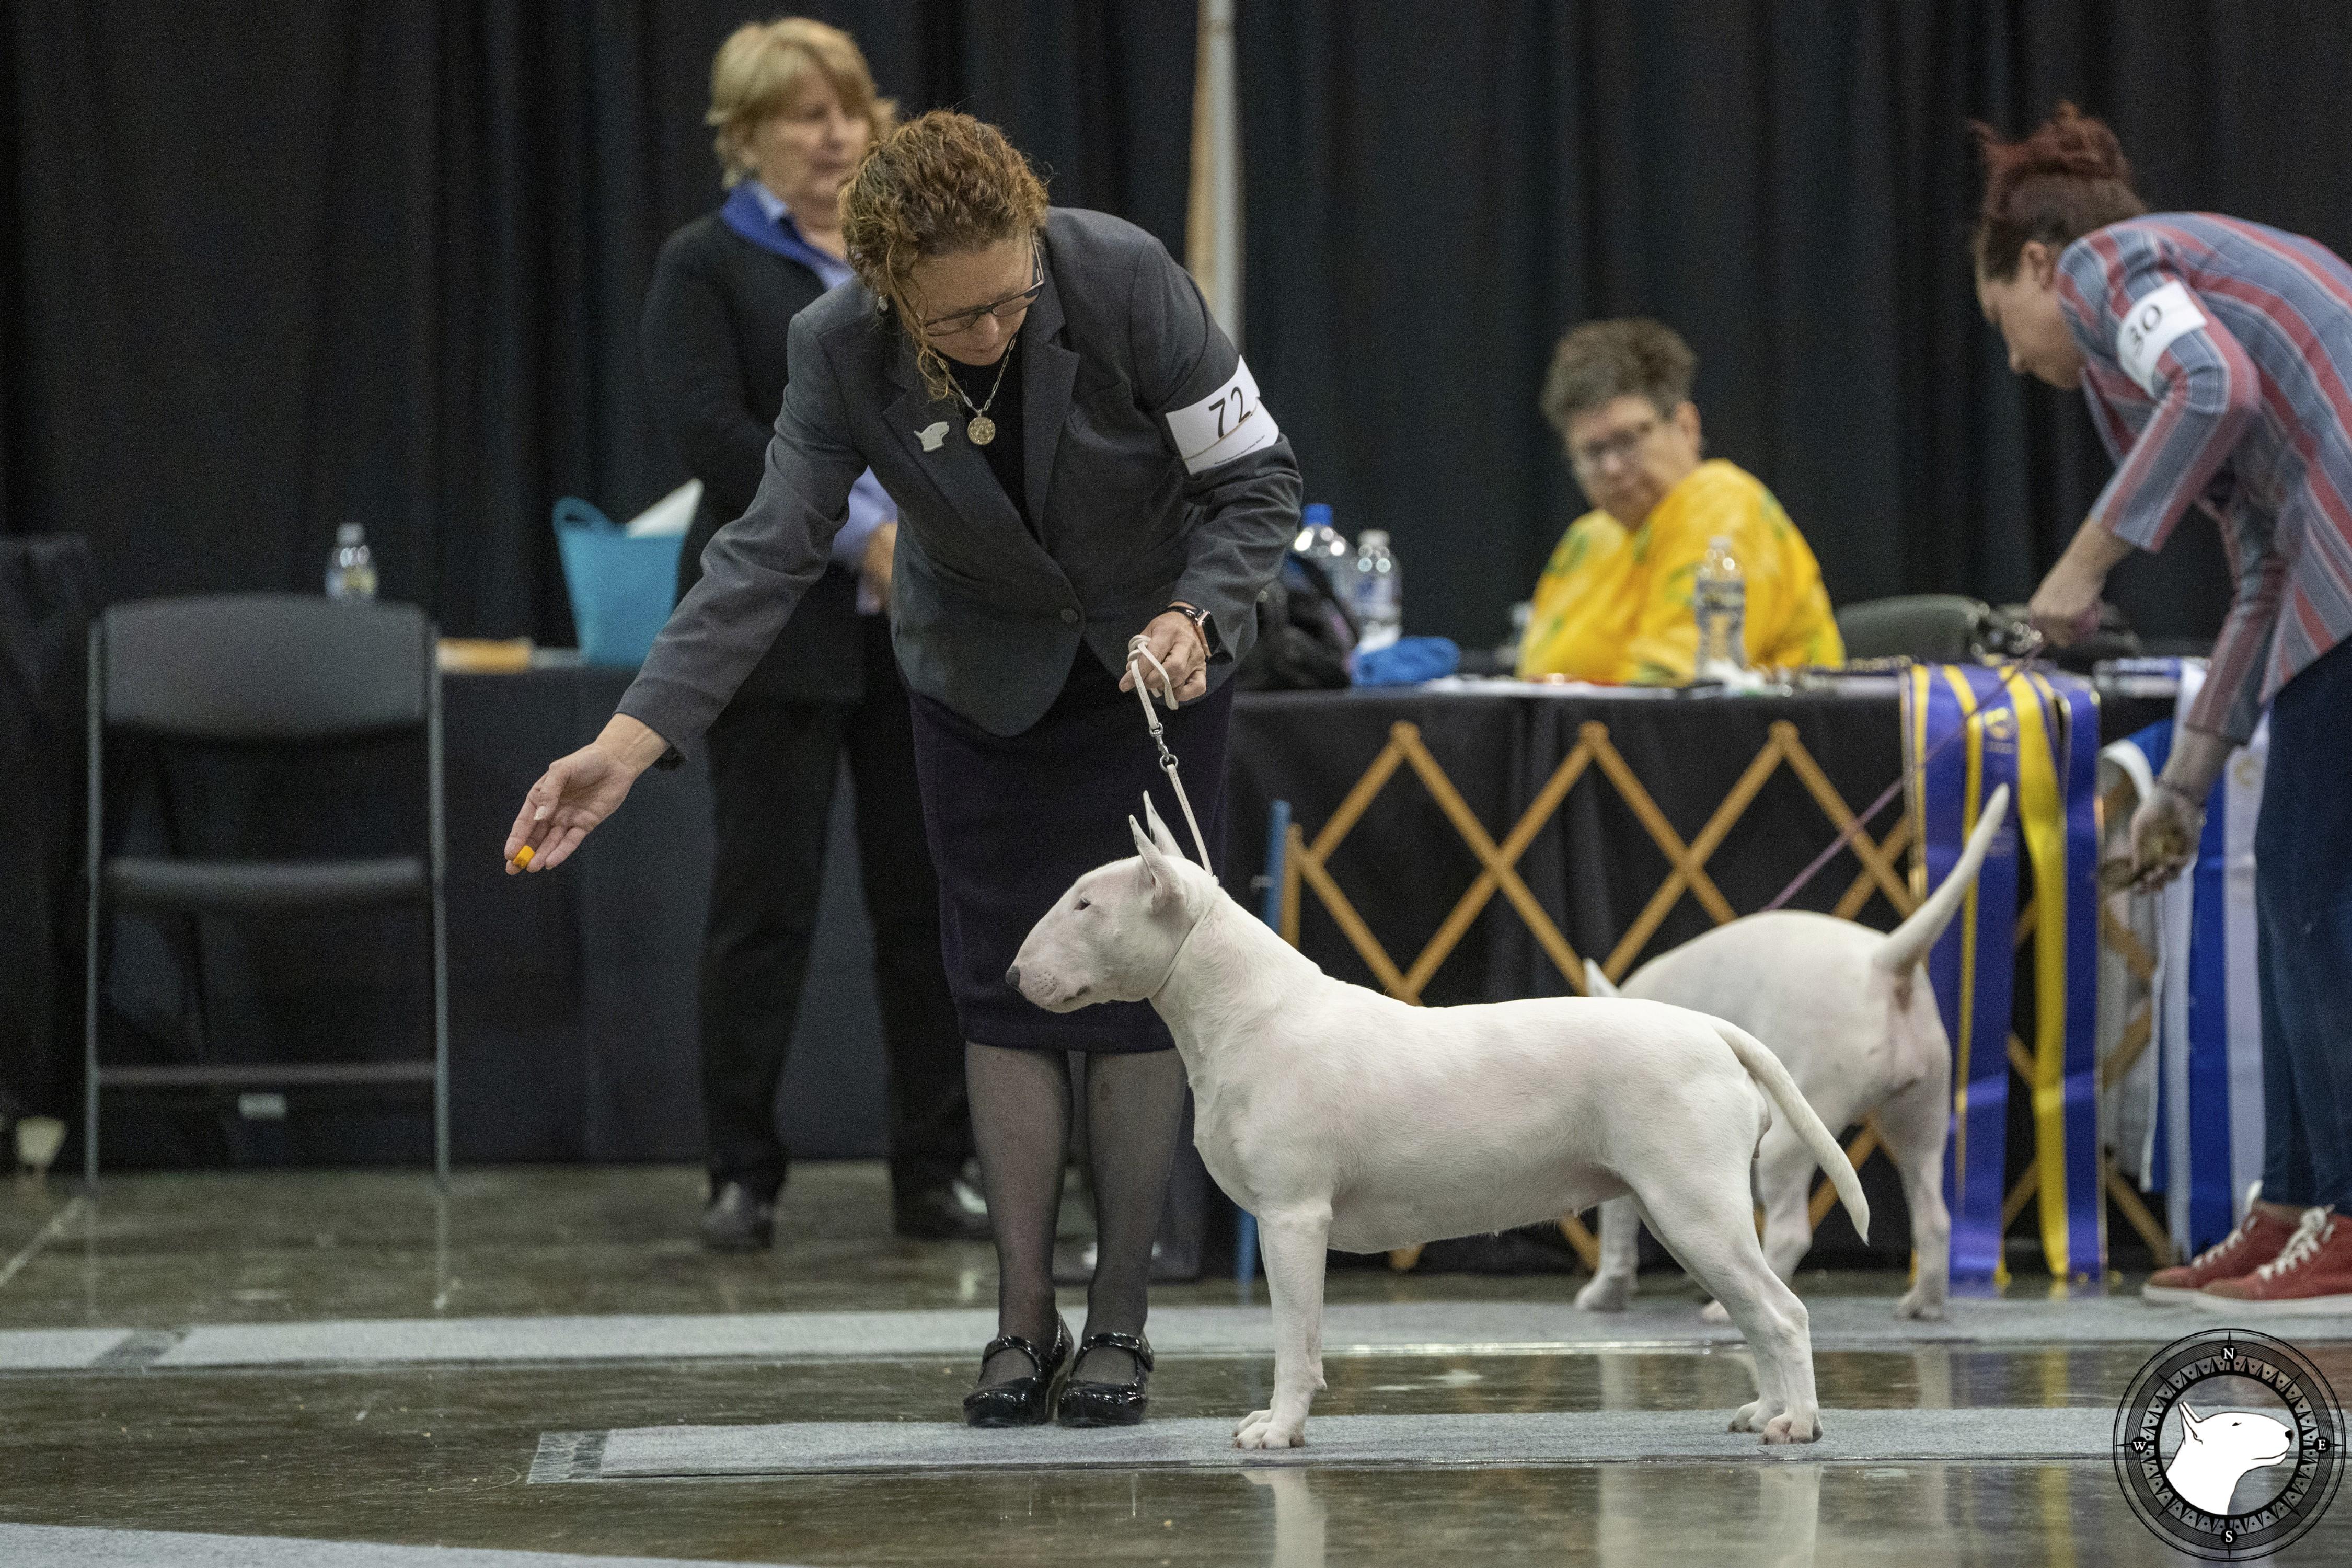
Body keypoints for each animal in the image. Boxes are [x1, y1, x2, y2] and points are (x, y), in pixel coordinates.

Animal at [1011, 804, 1872, 1457]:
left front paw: (1279, 1430)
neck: (1246, 1010)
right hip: (1683, 1213)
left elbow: (1295, 1338)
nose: (1015, 977)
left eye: (1085, 905)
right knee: (1754, 1313)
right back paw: (1766, 1412)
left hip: (1694, 1207)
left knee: (1782, 1313)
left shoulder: (1293, 1217)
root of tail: (1714, 1031)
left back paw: (1798, 1423)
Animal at [1581, 785, 2004, 1325]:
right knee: (1934, 1217)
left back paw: (1723, 1311)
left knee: (1790, 1234)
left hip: (1796, 1133)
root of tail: (1883, 962)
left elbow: (1616, 1228)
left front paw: (1604, 1295)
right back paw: (1923, 1304)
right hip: (1920, 1121)